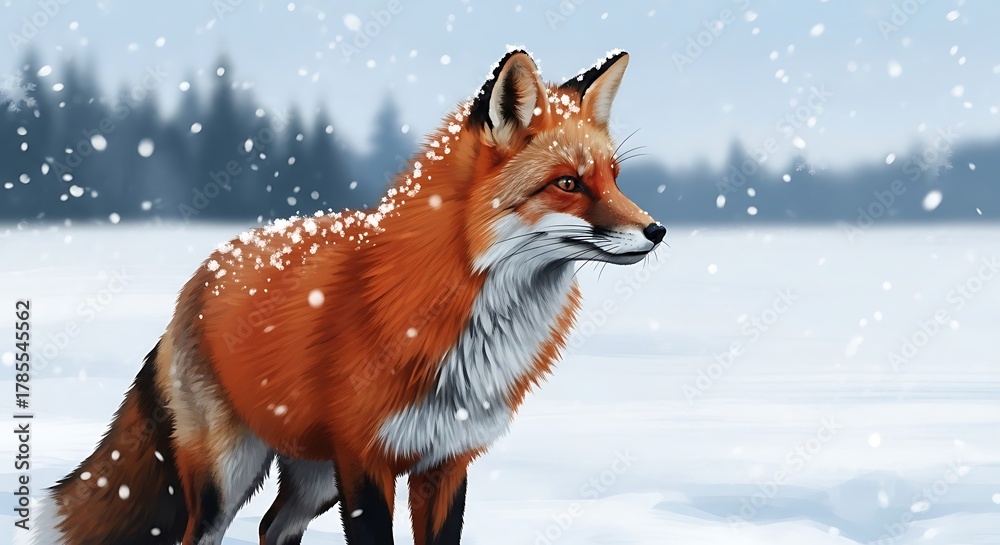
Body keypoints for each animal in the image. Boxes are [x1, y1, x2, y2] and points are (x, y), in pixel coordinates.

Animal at [31, 48, 664, 545]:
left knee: (272, 527)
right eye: (568, 183)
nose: (656, 231)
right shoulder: (364, 462)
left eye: (613, 178)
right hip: (227, 477)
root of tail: (200, 275)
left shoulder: (446, 463)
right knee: (203, 534)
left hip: (313, 478)